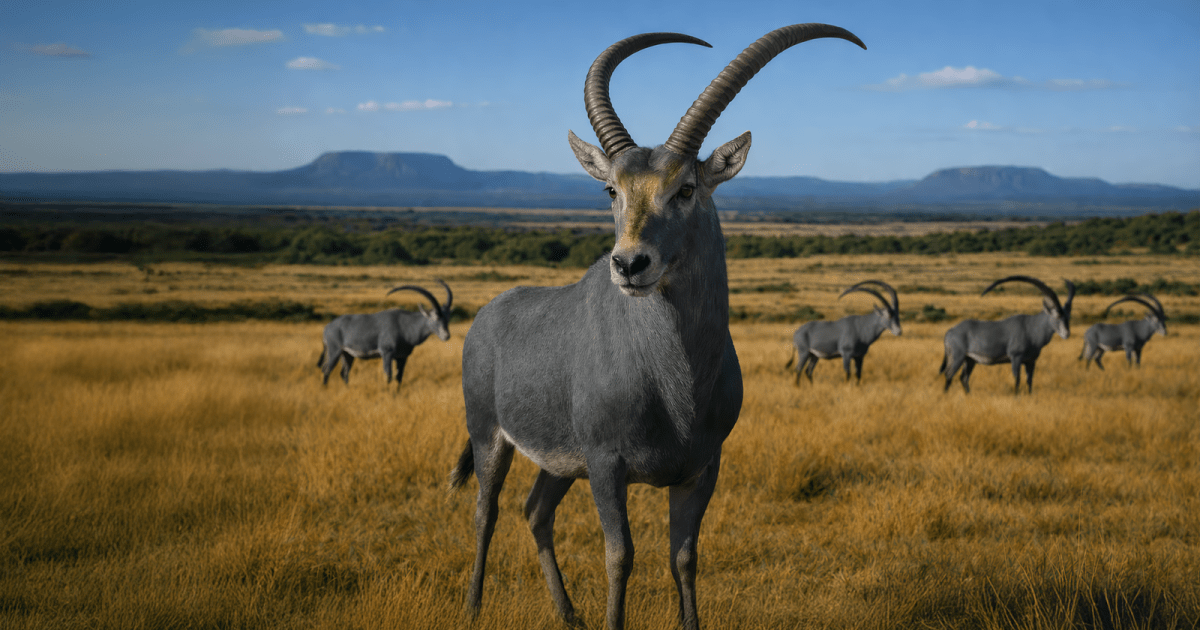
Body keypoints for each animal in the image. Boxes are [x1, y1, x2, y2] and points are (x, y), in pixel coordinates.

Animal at [317, 280, 452, 388]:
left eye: (447, 318)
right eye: (436, 317)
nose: (446, 336)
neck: (405, 325)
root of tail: (327, 327)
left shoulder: (402, 357)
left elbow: (399, 378)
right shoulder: (387, 353)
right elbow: (388, 376)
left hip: (347, 354)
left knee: (344, 373)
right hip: (334, 351)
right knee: (326, 369)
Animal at [450, 24, 865, 630]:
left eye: (686, 187)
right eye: (612, 190)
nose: (628, 265)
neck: (674, 381)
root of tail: (488, 316)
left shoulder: (701, 469)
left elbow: (684, 557)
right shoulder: (607, 466)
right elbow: (620, 555)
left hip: (560, 464)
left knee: (536, 511)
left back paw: (569, 615)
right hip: (490, 438)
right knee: (487, 511)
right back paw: (475, 606)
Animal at [939, 275, 1075, 394]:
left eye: (1068, 316)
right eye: (1057, 315)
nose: (1066, 334)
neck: (1031, 328)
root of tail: (950, 331)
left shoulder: (1031, 362)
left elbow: (1030, 381)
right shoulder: (1016, 358)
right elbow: (1017, 379)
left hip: (970, 360)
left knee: (963, 377)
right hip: (958, 357)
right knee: (949, 374)